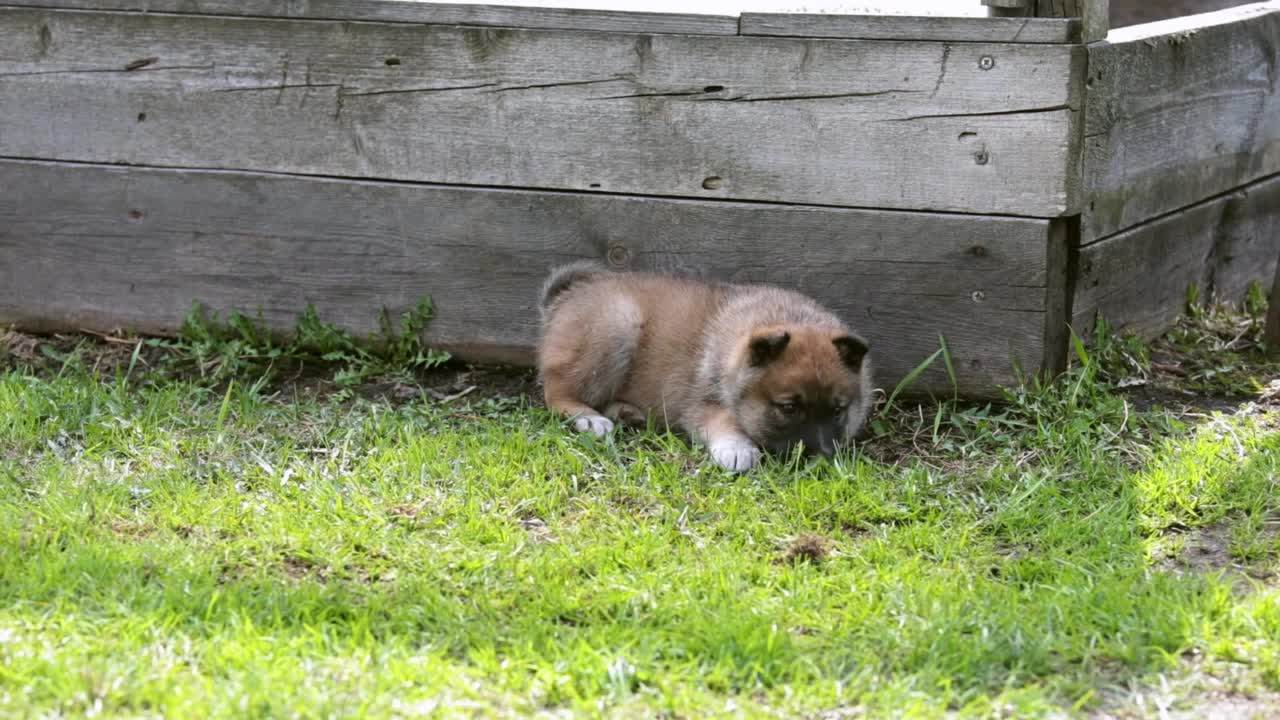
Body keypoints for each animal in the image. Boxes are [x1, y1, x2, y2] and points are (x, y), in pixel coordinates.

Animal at [535, 258, 875, 471]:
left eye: (838, 411)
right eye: (788, 408)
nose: (823, 458)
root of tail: (565, 298)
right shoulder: (699, 405)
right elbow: (724, 420)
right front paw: (737, 449)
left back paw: (627, 413)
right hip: (617, 324)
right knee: (556, 392)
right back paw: (589, 419)